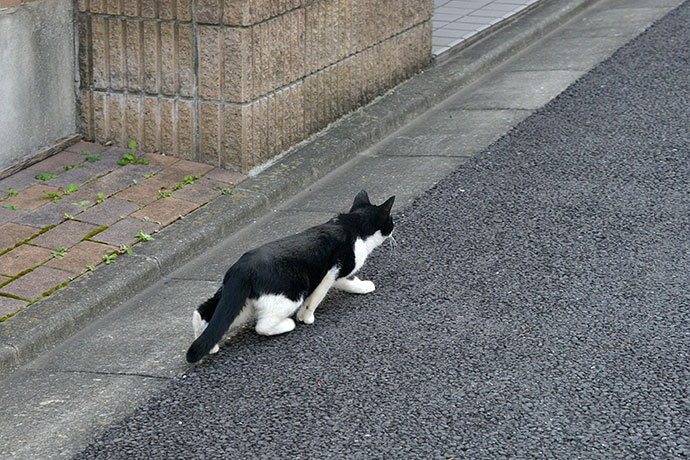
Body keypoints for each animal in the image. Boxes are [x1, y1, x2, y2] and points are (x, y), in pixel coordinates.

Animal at [185, 190, 396, 362]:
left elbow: (348, 281)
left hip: (239, 300)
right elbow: (316, 297)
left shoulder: (339, 273)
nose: (395, 227)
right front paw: (306, 317)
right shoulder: (331, 271)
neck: (353, 226)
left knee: (205, 312)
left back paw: (209, 344)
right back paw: (288, 323)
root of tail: (243, 267)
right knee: (262, 326)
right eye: (391, 221)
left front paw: (362, 287)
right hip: (291, 293)